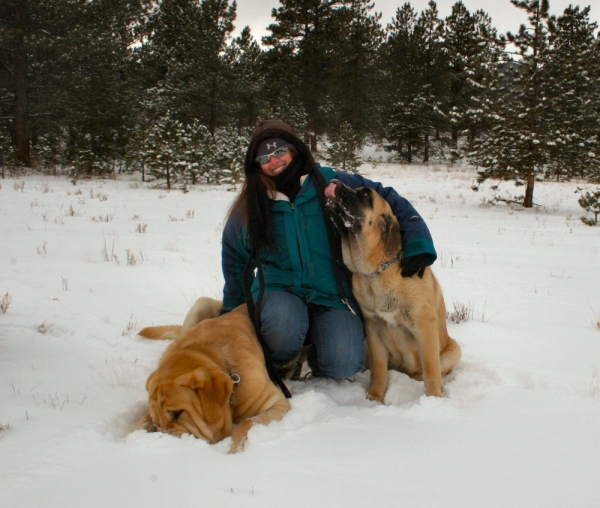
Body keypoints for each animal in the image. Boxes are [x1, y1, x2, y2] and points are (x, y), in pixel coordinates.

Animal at [139, 298, 292, 452]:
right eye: (157, 421)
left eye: (177, 413)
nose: (163, 434)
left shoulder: (276, 403)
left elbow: (247, 422)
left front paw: (233, 450)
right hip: (200, 305)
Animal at [326, 182, 462, 400]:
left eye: (365, 194)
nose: (336, 181)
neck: (377, 272)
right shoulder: (373, 327)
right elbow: (379, 368)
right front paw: (375, 396)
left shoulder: (424, 325)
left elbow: (431, 370)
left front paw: (435, 399)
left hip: (454, 349)